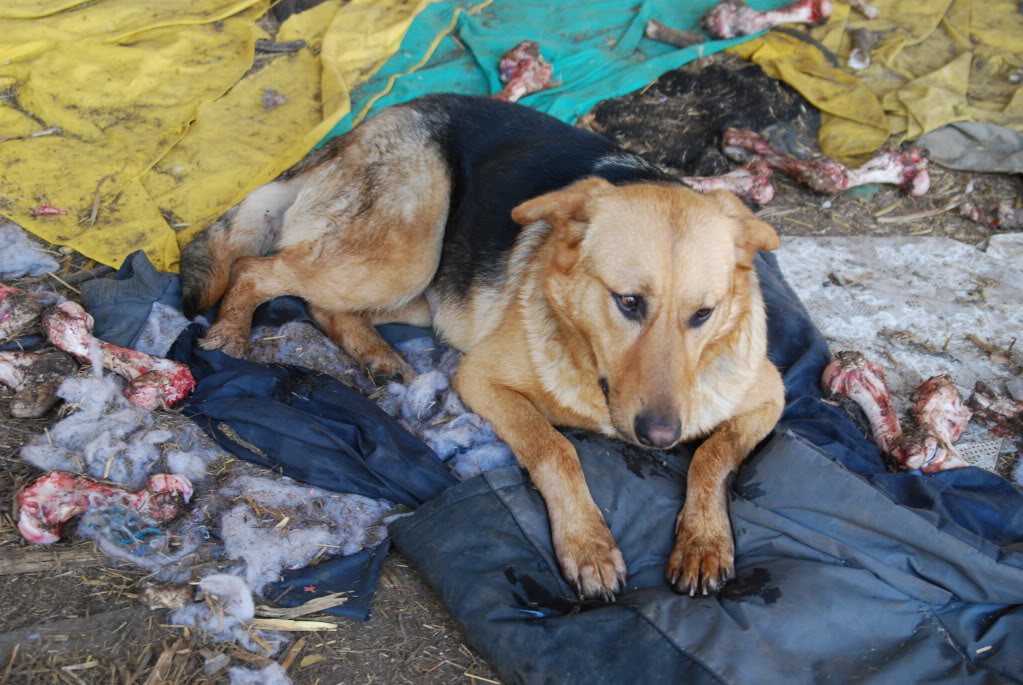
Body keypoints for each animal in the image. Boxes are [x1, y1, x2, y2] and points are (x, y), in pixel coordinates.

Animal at [182, 92, 781, 601]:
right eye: (629, 302)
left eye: (702, 315)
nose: (660, 437)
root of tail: (374, 121)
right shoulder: (480, 378)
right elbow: (555, 449)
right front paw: (588, 544)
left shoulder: (769, 398)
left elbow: (713, 455)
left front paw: (704, 540)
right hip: (405, 253)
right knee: (255, 268)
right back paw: (231, 332)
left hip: (425, 290)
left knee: (322, 304)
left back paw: (376, 354)